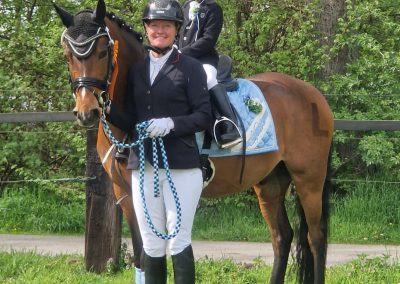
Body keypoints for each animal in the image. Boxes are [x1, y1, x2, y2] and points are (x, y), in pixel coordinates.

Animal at [54, 1, 332, 282]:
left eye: (102, 52)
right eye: (67, 55)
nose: (86, 112)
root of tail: (312, 94)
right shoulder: (127, 195)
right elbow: (142, 257)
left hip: (309, 180)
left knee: (315, 238)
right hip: (270, 181)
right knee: (282, 236)